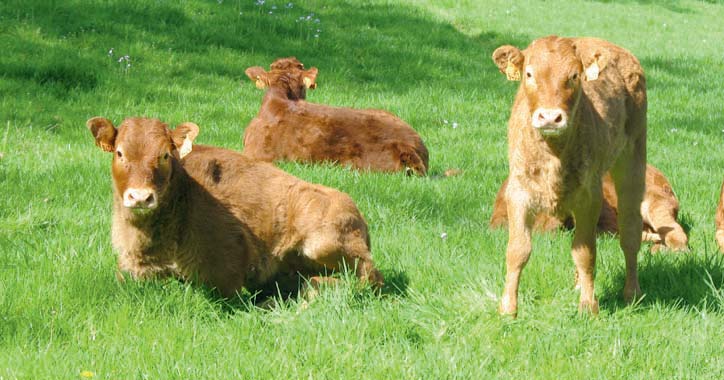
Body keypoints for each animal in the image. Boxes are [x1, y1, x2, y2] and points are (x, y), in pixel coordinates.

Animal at [86, 116, 384, 296]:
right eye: (119, 152)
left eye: (165, 155)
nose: (140, 197)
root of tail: (359, 215)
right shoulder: (129, 268)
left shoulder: (226, 274)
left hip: (323, 243)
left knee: (366, 278)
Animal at [490, 35, 648, 316]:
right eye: (529, 74)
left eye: (574, 76)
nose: (550, 117)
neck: (553, 154)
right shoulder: (518, 191)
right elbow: (517, 250)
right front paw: (508, 308)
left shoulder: (590, 197)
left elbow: (585, 252)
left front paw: (588, 306)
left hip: (633, 158)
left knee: (630, 230)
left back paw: (631, 292)